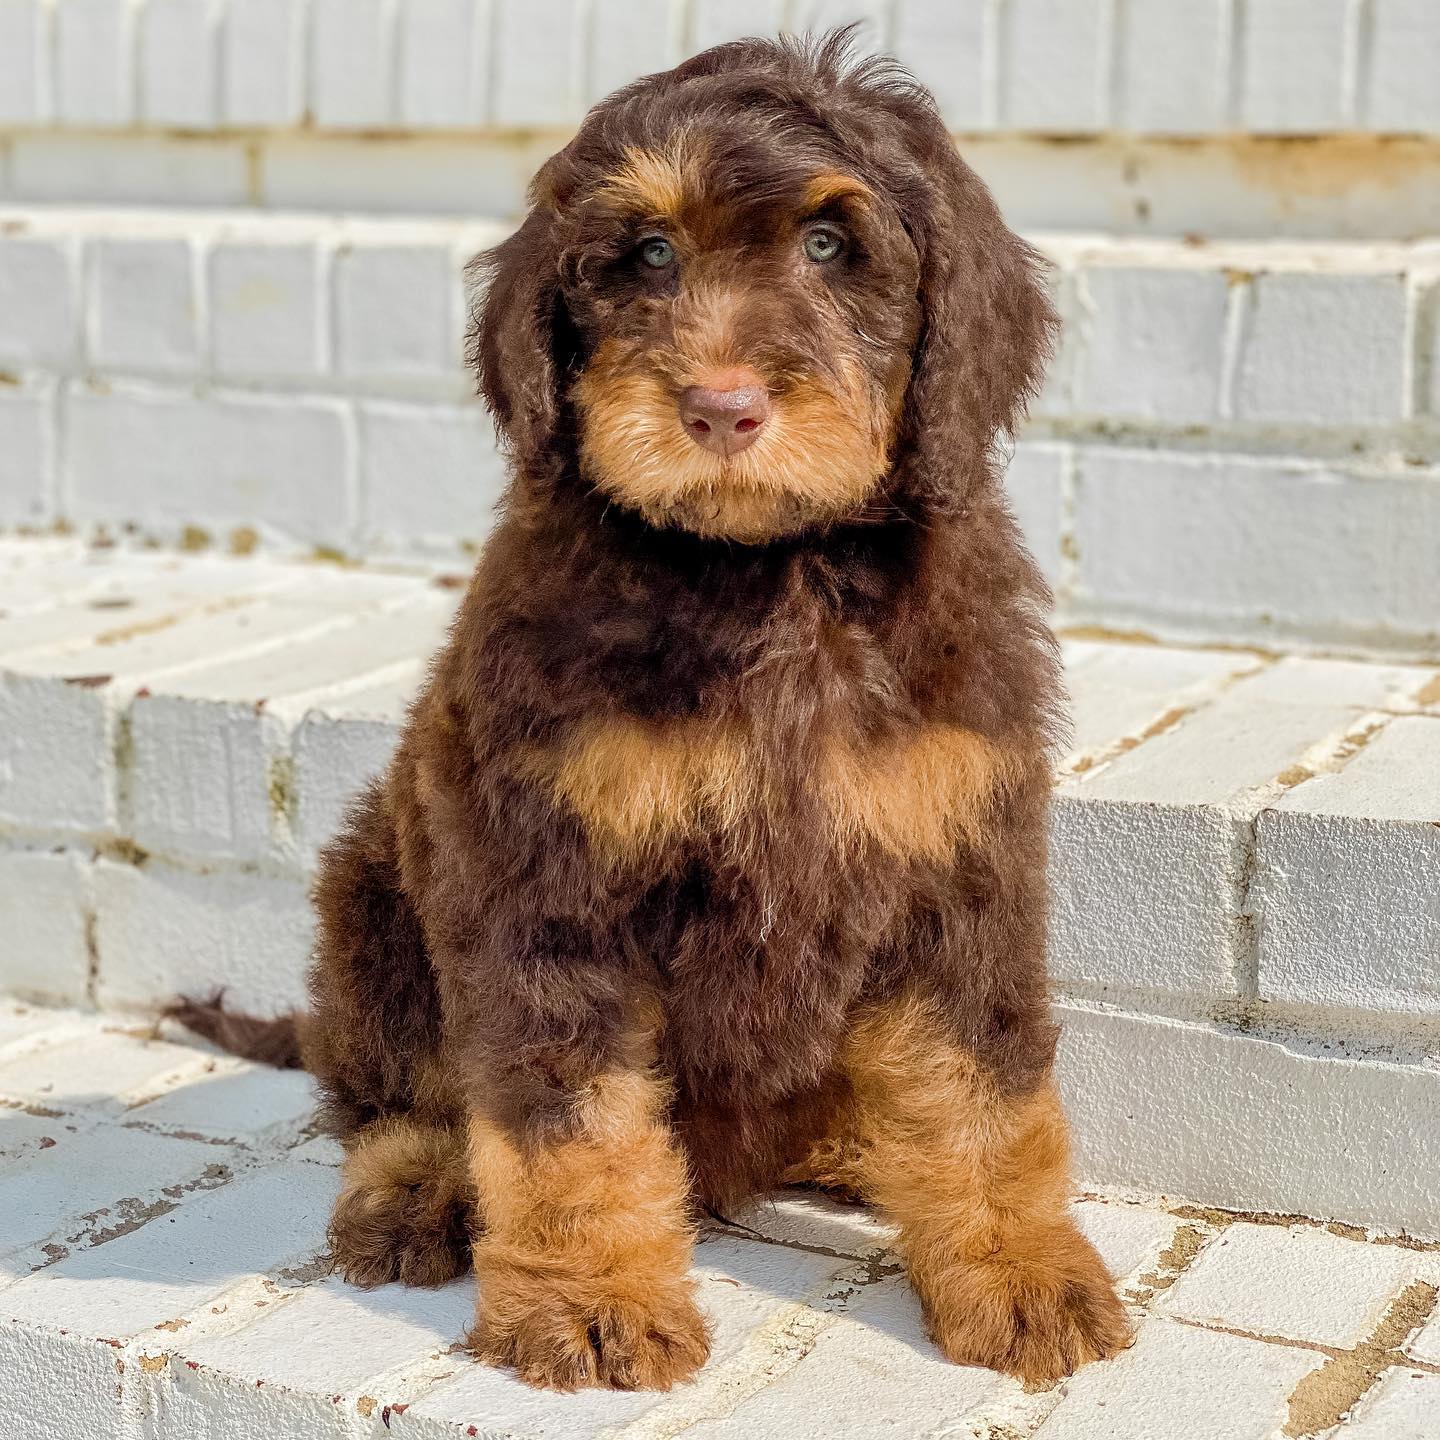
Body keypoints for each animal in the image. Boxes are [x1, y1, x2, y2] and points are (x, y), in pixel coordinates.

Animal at [174, 30, 1128, 1382]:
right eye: (651, 254)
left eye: (829, 245)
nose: (722, 408)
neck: (764, 570)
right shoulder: (546, 873)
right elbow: (567, 1115)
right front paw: (591, 1301)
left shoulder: (957, 862)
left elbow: (979, 1087)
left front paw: (1021, 1269)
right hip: (373, 896)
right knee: (398, 1095)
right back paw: (414, 1194)